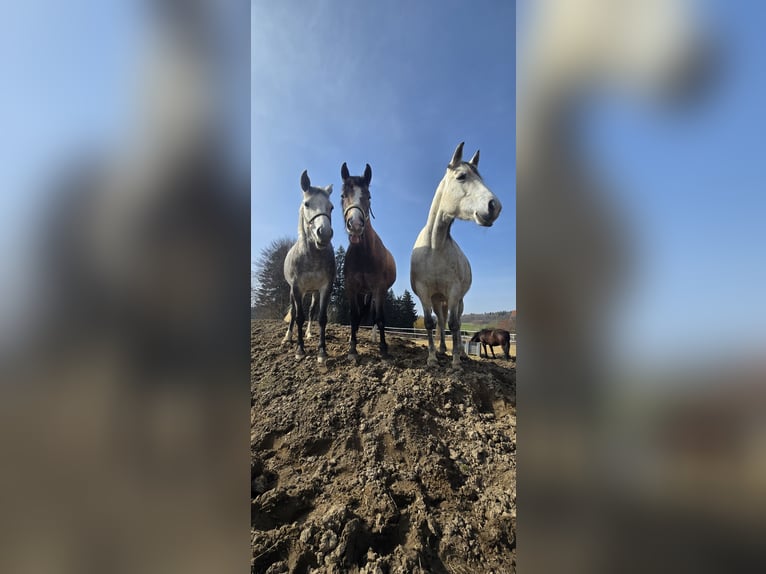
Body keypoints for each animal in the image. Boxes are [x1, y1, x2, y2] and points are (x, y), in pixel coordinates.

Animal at [281, 170, 335, 363]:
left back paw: (309, 334)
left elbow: (321, 318)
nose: (324, 234)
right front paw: (299, 350)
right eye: (307, 204)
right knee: (294, 313)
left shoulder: (325, 288)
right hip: (295, 291)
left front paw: (322, 352)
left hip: (313, 293)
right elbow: (299, 317)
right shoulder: (297, 288)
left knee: (311, 312)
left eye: (331, 207)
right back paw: (288, 337)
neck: (312, 256)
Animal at [340, 162, 396, 361]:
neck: (364, 255)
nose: (355, 225)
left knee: (373, 315)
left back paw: (374, 338)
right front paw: (352, 348)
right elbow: (353, 315)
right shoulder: (352, 288)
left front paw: (384, 348)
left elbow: (379, 318)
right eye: (342, 196)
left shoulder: (379, 288)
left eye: (369, 196)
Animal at [410, 142, 502, 369]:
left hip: (457, 300)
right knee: (441, 321)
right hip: (438, 299)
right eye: (461, 176)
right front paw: (432, 358)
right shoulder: (425, 293)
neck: (434, 247)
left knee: (456, 323)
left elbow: (454, 324)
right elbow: (430, 323)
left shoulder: (453, 292)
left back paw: (460, 352)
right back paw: (442, 349)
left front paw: (457, 362)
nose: (494, 206)